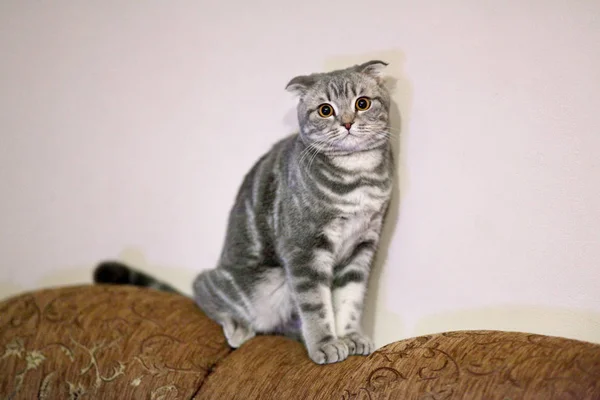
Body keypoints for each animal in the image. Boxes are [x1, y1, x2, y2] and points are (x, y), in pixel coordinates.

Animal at [94, 60, 394, 366]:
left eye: (362, 103)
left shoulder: (362, 247)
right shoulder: (304, 249)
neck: (358, 176)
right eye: (325, 110)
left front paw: (350, 336)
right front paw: (326, 343)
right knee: (202, 287)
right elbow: (316, 305)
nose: (347, 122)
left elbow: (350, 299)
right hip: (264, 285)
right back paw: (238, 326)